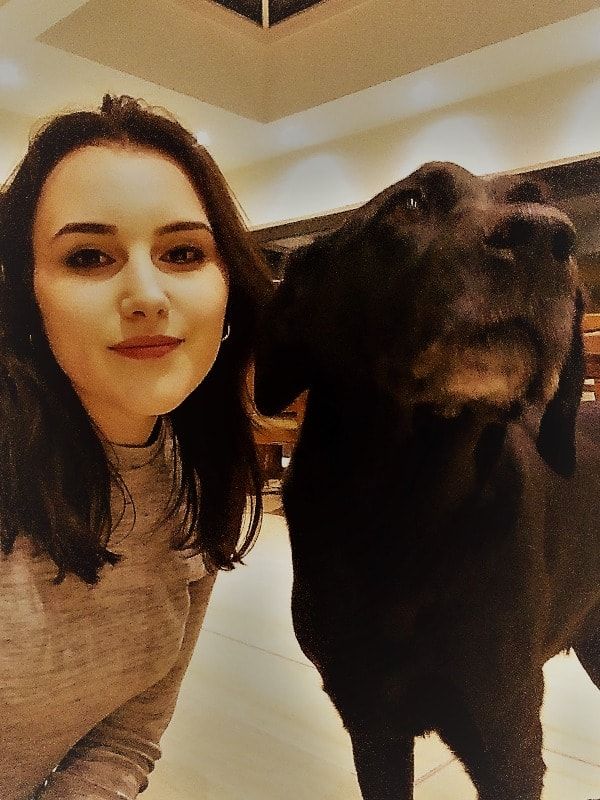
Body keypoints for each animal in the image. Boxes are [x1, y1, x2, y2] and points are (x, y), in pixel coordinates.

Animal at [254, 162, 600, 800]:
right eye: (411, 203)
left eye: (544, 203)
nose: (550, 236)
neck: (410, 510)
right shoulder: (371, 725)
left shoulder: (506, 734)